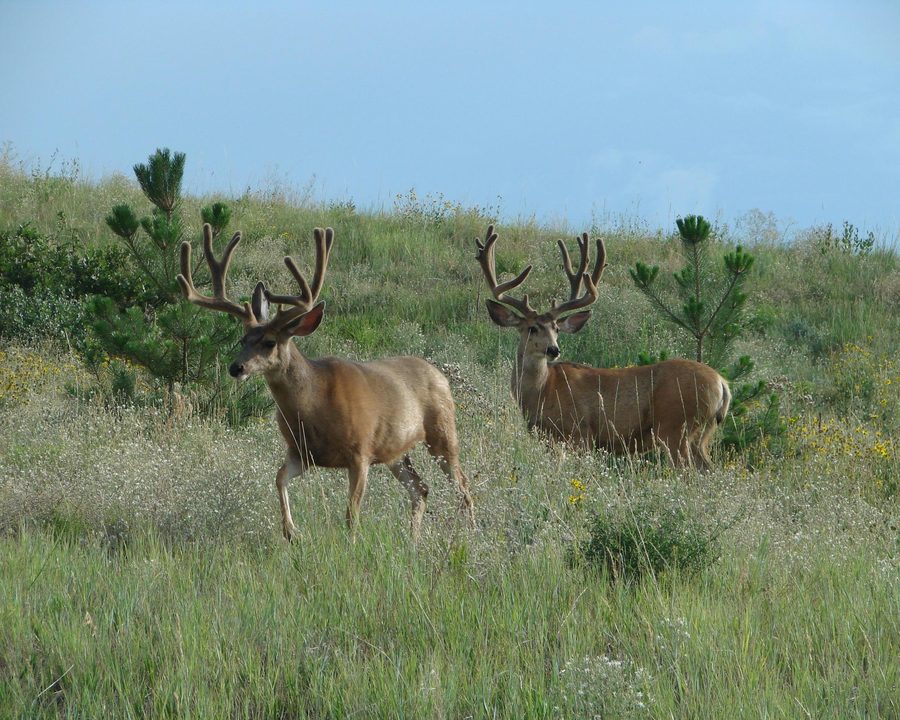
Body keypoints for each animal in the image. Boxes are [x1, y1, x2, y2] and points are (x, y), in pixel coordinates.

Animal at [178, 224, 475, 541]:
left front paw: (352, 544)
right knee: (420, 488)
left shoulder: (360, 452)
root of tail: (439, 373)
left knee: (462, 487)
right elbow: (278, 478)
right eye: (242, 339)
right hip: (395, 451)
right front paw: (291, 531)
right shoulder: (302, 452)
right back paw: (413, 540)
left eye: (269, 342)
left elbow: (351, 515)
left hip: (442, 432)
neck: (315, 407)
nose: (236, 368)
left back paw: (471, 532)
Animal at [475, 225, 730, 469]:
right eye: (531, 328)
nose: (553, 350)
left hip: (675, 425)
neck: (543, 390)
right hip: (701, 433)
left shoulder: (580, 432)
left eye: (556, 328)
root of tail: (722, 383)